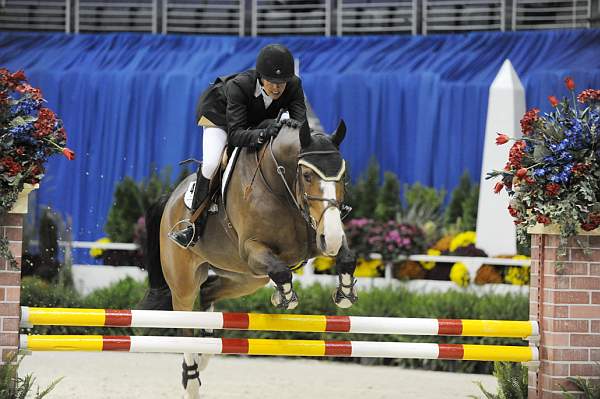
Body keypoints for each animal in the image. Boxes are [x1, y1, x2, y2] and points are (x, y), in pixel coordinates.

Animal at [139, 119, 356, 399]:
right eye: (307, 176)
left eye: (344, 177)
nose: (331, 237)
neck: (281, 186)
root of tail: (171, 198)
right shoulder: (253, 249)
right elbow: (283, 272)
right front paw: (284, 298)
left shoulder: (318, 236)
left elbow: (347, 258)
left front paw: (345, 294)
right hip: (185, 280)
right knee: (185, 320)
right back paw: (192, 379)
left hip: (246, 278)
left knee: (208, 292)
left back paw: (205, 351)